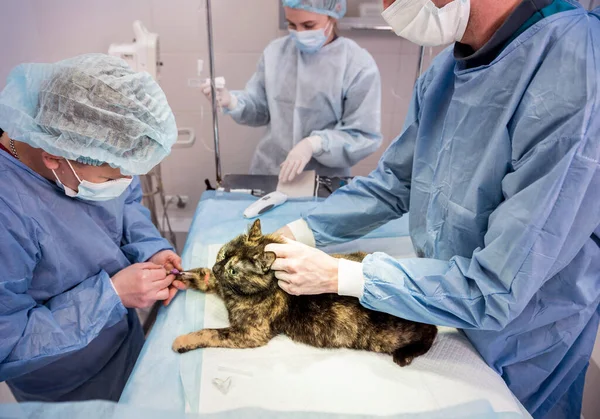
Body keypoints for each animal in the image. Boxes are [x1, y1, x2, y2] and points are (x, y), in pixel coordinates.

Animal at [172, 220, 436, 368]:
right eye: (222, 254)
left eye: (234, 270)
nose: (219, 268)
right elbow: (205, 277)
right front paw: (183, 275)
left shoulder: (250, 333)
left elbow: (209, 332)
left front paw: (182, 341)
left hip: (385, 336)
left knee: (431, 330)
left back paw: (405, 355)